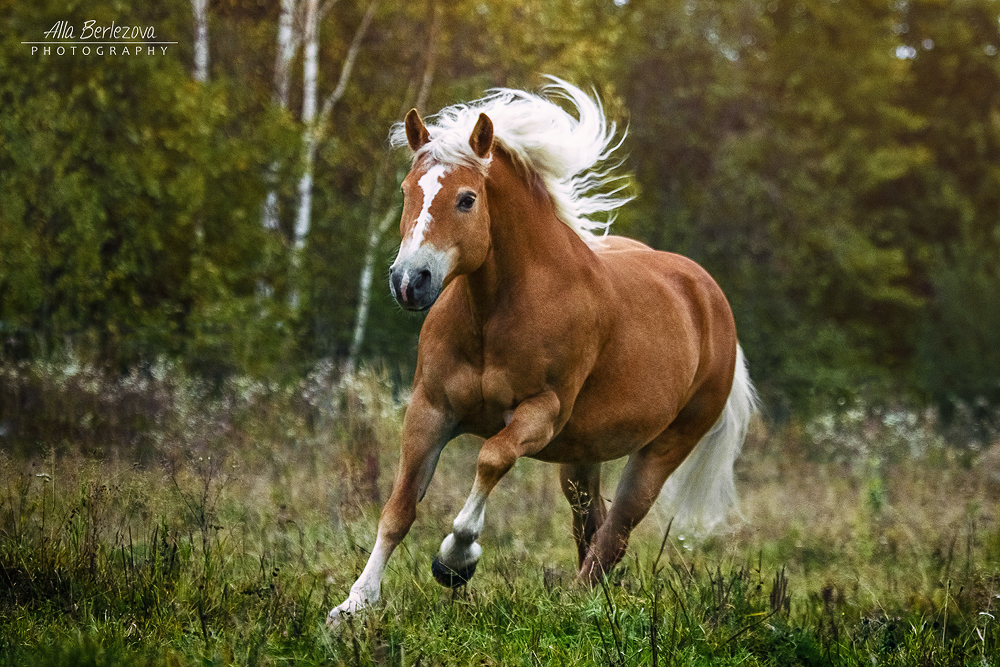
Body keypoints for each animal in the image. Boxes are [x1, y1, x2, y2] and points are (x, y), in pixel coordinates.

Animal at [324, 78, 752, 628]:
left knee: (615, 533)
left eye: (467, 199)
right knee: (591, 525)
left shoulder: (541, 413)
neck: (496, 310)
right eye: (406, 191)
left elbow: (490, 458)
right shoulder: (430, 410)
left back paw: (580, 608)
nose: (409, 282)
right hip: (581, 457)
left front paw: (455, 560)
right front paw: (354, 604)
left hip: (663, 448)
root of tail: (708, 297)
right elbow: (398, 509)